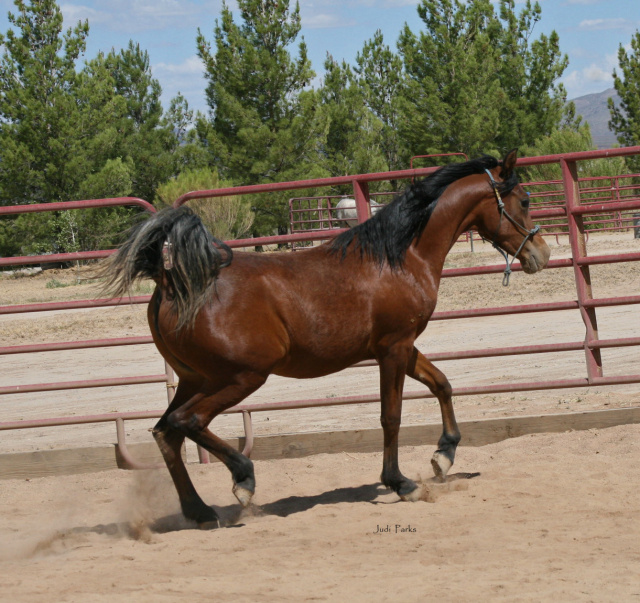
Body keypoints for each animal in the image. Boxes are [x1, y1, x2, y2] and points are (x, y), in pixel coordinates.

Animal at [101, 150, 552, 528]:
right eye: (525, 201)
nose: (541, 254)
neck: (400, 258)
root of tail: (170, 283)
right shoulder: (393, 348)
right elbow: (391, 416)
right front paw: (400, 482)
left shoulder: (402, 345)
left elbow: (442, 384)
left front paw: (444, 455)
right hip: (241, 377)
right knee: (187, 422)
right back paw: (242, 481)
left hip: (195, 378)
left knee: (167, 432)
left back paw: (200, 511)